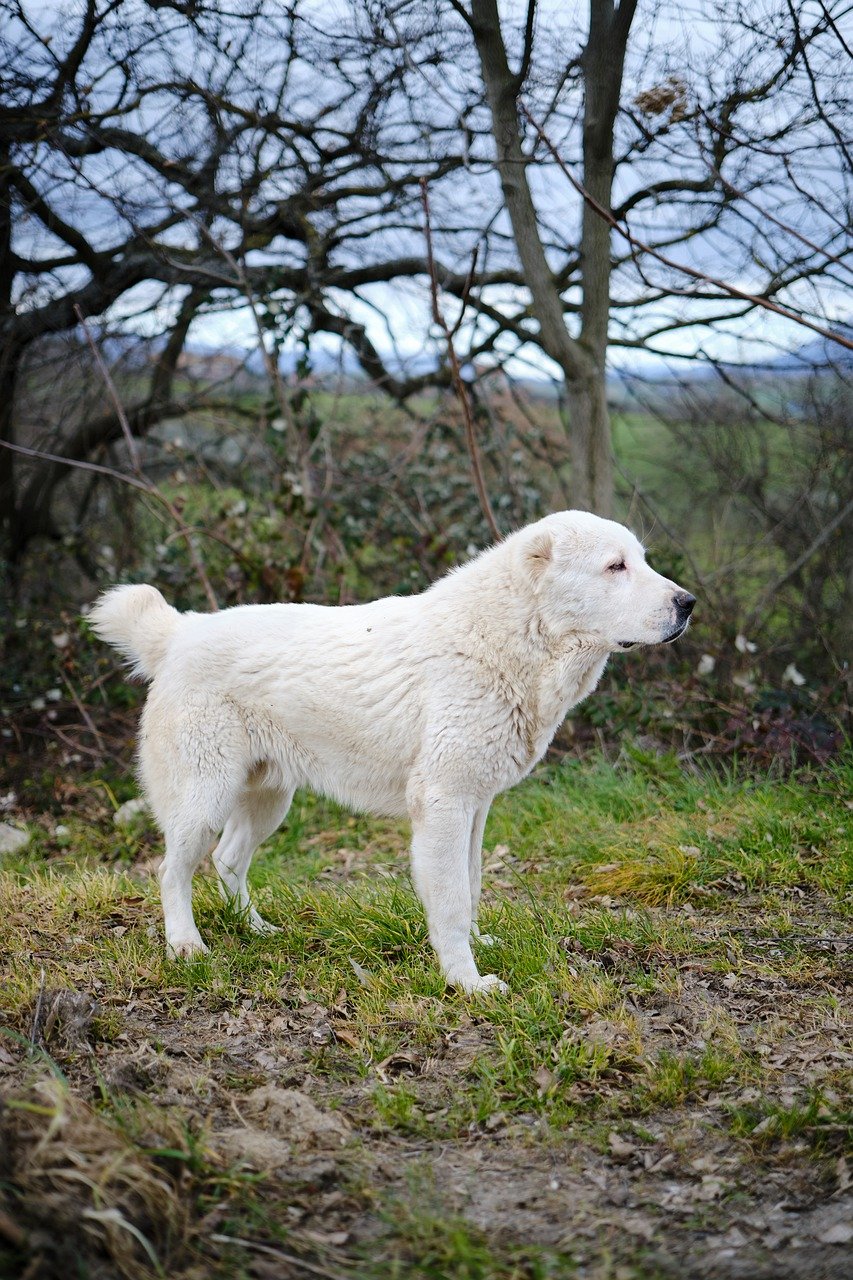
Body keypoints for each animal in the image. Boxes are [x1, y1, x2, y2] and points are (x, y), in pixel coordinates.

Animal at [92, 506, 691, 988]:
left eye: (641, 560)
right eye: (615, 566)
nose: (688, 603)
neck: (504, 638)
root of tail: (179, 633)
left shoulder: (476, 806)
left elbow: (472, 884)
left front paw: (478, 950)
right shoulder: (444, 803)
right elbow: (451, 900)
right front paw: (466, 983)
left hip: (267, 799)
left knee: (228, 860)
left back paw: (256, 929)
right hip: (205, 795)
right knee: (172, 871)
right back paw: (186, 946)